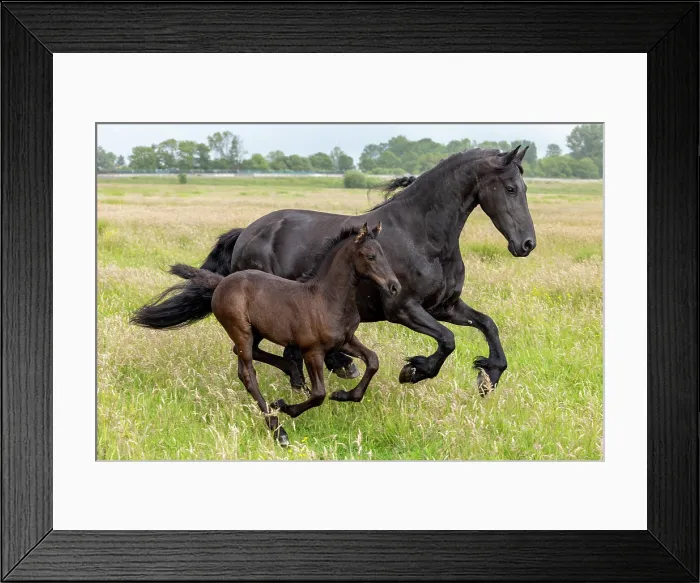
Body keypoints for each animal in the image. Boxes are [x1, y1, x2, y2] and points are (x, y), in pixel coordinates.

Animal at [132, 145, 536, 394]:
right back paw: (329, 368)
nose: (527, 244)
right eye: (511, 188)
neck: (423, 236)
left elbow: (488, 325)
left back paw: (323, 369)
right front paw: (414, 371)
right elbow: (448, 340)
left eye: (525, 187)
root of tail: (247, 232)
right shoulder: (403, 308)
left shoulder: (445, 306)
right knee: (255, 352)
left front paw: (489, 376)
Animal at [167, 222, 400, 446]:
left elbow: (373, 361)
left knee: (245, 355)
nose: (394, 287)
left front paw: (344, 395)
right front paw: (285, 406)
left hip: (255, 331)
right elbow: (319, 394)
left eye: (384, 254)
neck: (326, 299)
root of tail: (221, 282)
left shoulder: (346, 340)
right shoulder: (312, 351)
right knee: (248, 374)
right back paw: (278, 430)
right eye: (370, 256)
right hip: (240, 330)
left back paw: (292, 374)